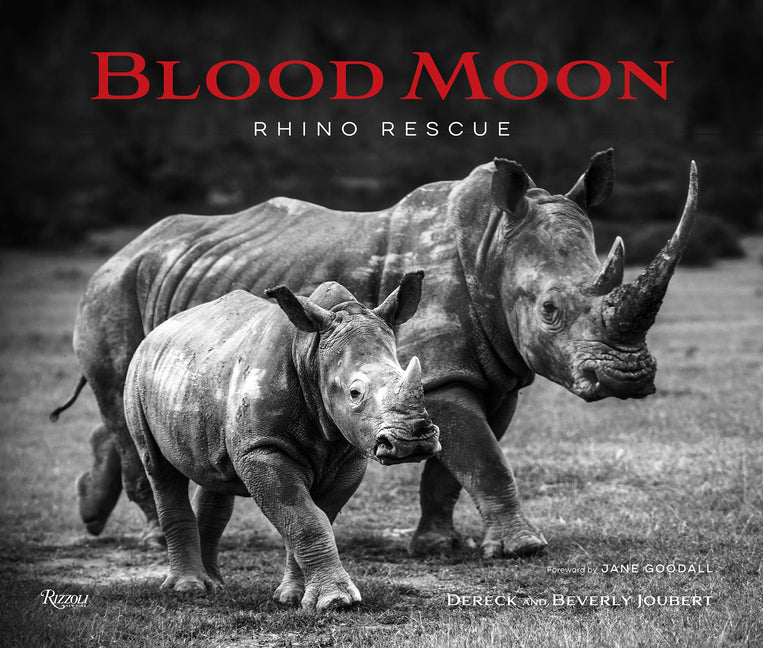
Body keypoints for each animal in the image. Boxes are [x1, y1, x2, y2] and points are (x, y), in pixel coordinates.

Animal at [53, 149, 698, 558]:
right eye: (549, 310)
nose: (631, 376)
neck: (490, 245)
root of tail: (125, 248)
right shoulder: (440, 375)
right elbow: (484, 458)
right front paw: (523, 549)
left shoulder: (495, 374)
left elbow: (454, 464)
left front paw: (437, 547)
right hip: (111, 289)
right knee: (122, 405)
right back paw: (153, 541)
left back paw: (92, 513)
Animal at [124, 274, 441, 610]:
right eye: (355, 393)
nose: (413, 441)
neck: (311, 354)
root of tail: (156, 332)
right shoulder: (262, 448)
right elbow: (304, 519)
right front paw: (336, 602)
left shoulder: (349, 454)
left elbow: (315, 516)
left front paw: (294, 597)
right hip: (137, 373)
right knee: (159, 470)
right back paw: (189, 588)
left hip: (197, 373)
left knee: (215, 475)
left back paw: (214, 585)